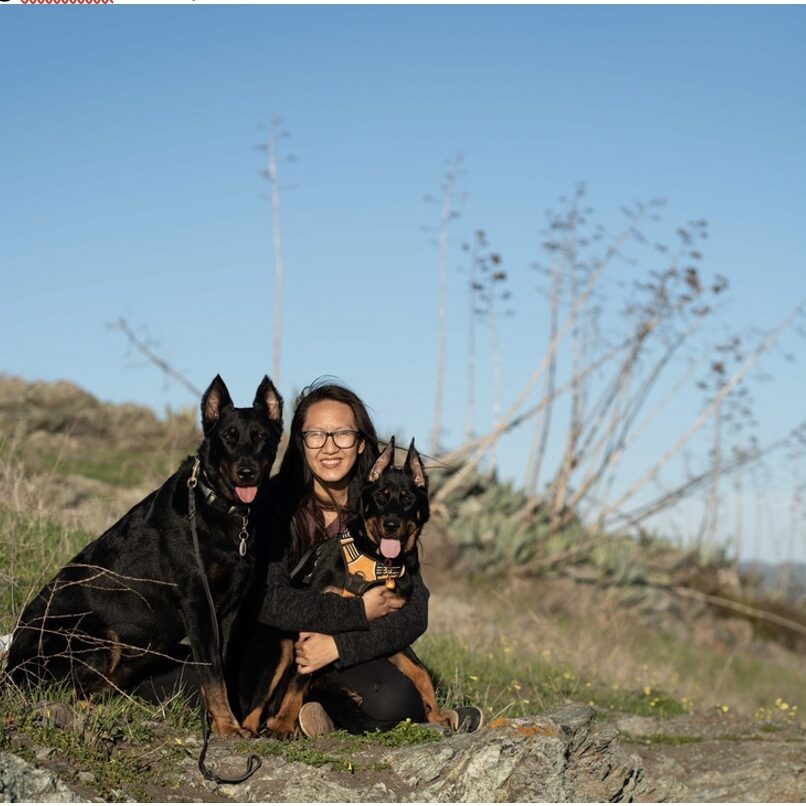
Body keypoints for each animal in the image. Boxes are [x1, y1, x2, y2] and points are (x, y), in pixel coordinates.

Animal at [6, 376, 282, 740]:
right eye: (228, 436)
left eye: (262, 436)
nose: (247, 472)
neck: (217, 506)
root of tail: (9, 668)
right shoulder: (198, 604)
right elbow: (212, 672)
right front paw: (226, 725)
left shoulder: (228, 610)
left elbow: (222, 668)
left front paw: (224, 720)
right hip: (98, 637)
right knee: (67, 691)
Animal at [240, 438, 458, 740]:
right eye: (381, 497)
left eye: (407, 499)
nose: (391, 525)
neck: (374, 562)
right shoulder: (314, 627)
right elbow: (297, 682)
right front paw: (283, 724)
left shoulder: (387, 625)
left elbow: (420, 671)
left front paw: (436, 715)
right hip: (280, 647)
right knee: (259, 701)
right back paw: (257, 726)